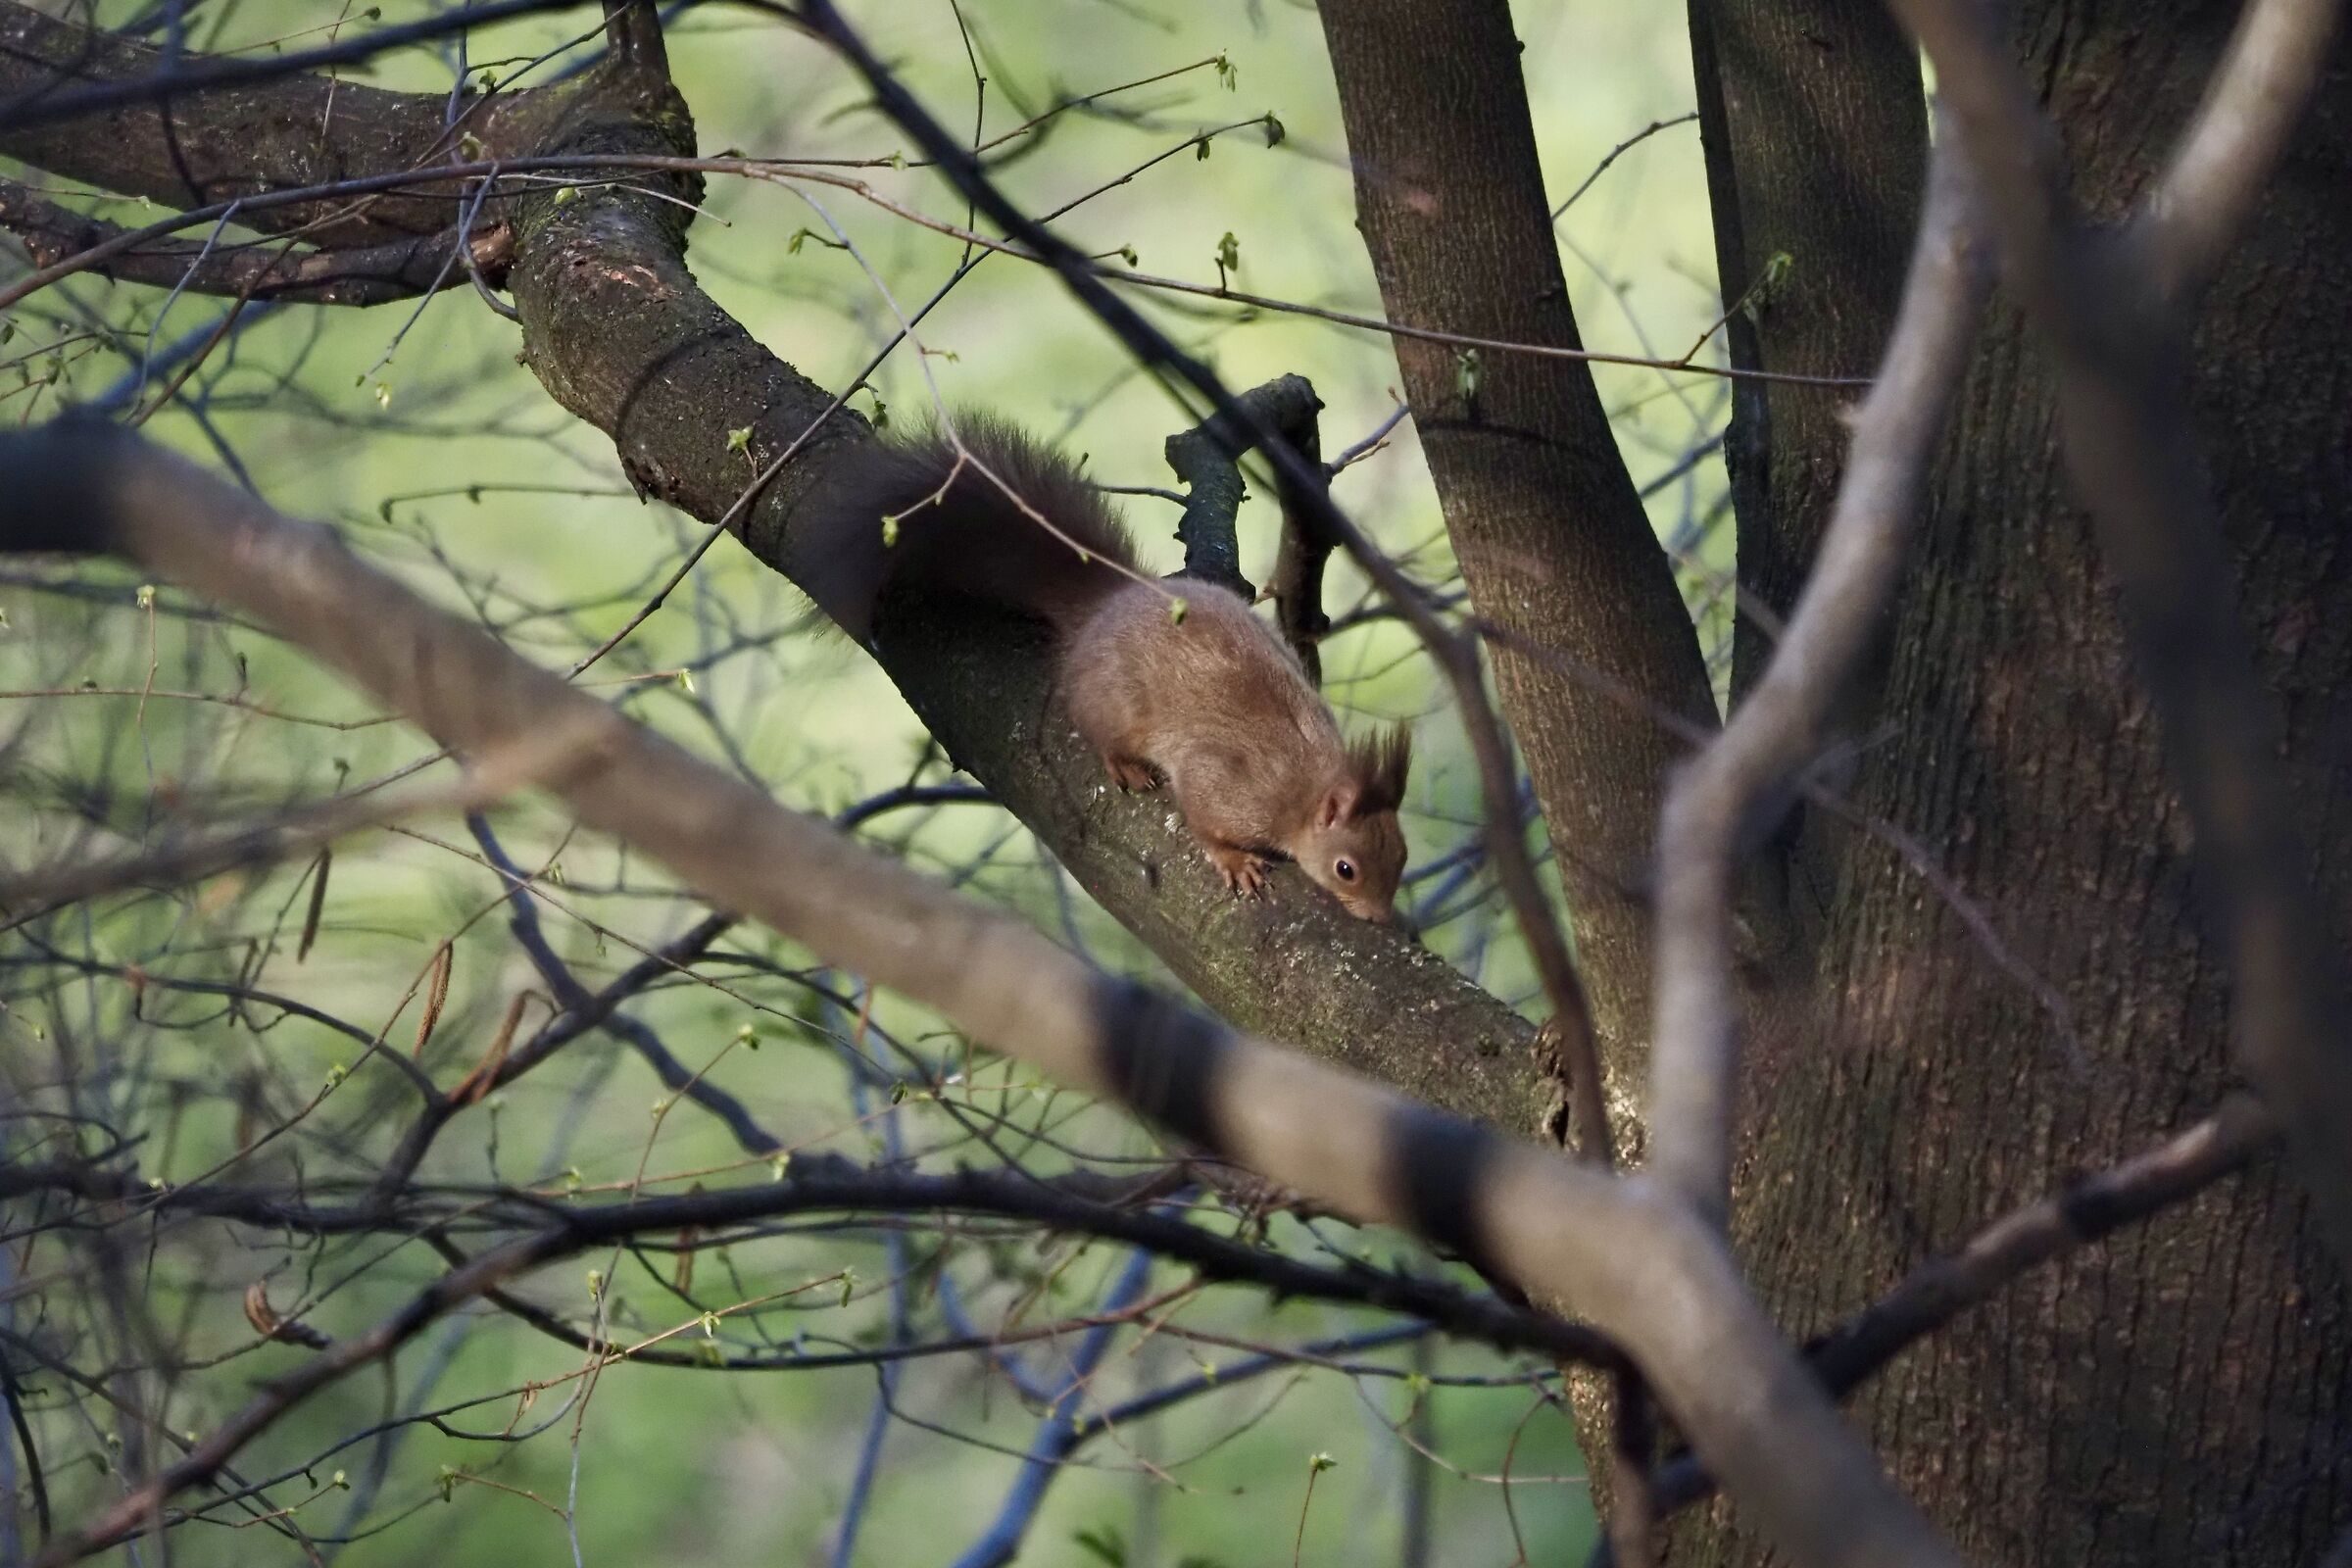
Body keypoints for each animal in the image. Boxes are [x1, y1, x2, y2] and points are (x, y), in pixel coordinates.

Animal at [797, 414, 1411, 923]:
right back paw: (1126, 766)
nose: (1382, 918)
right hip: (1115, 703)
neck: (1307, 785)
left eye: (1402, 857)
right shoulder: (1230, 785)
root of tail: (1102, 607)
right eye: (1346, 868)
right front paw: (1234, 861)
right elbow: (1203, 817)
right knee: (1097, 728)